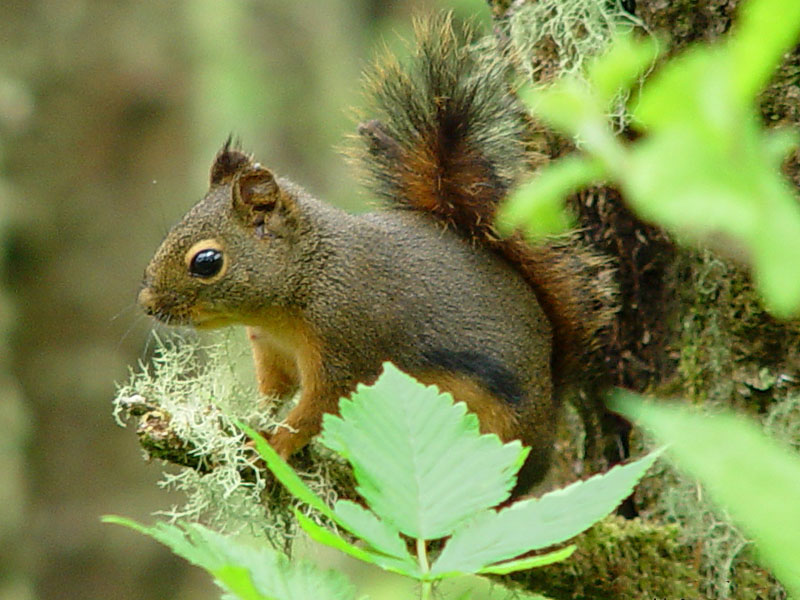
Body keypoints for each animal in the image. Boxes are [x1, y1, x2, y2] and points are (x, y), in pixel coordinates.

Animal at [138, 14, 620, 492]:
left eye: (206, 262)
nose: (147, 304)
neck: (305, 280)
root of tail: (552, 407)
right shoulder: (273, 352)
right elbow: (274, 393)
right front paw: (252, 422)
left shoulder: (347, 348)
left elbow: (316, 410)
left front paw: (274, 447)